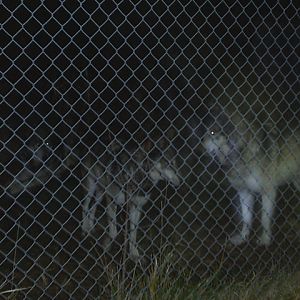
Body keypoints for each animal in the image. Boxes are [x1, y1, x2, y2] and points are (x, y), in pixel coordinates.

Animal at [203, 107, 298, 246]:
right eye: (208, 131)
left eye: (213, 132)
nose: (201, 145)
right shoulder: (244, 192)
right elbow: (246, 219)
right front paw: (243, 238)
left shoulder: (268, 191)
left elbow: (264, 219)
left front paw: (265, 240)